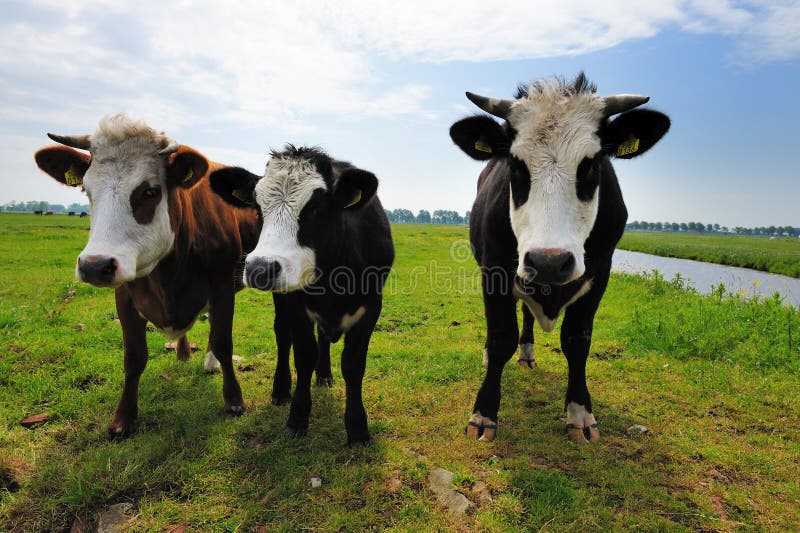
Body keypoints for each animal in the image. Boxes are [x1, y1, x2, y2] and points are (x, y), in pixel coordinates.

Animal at [34, 114, 260, 438]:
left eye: (150, 191)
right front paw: (123, 418)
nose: (94, 266)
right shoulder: (125, 296)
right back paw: (183, 353)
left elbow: (222, 342)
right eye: (87, 190)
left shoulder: (222, 288)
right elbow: (134, 357)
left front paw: (234, 400)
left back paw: (209, 362)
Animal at [206, 145, 394, 444]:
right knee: (283, 337)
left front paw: (357, 427)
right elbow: (304, 356)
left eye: (316, 208)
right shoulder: (295, 304)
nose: (259, 268)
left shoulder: (371, 307)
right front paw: (297, 417)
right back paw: (281, 389)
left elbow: (353, 365)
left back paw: (325, 375)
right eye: (257, 207)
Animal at [450, 74, 668, 440]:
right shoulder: (494, 271)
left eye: (592, 163)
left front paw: (579, 413)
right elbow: (500, 337)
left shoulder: (600, 273)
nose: (549, 261)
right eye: (515, 164)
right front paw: (483, 414)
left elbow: (577, 340)